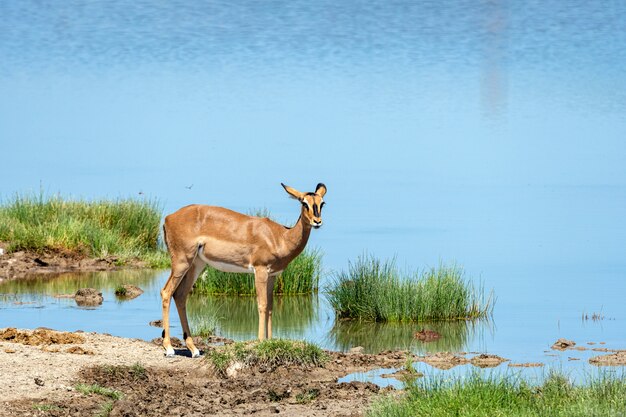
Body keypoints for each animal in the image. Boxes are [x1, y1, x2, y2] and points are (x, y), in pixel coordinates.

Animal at [161, 180, 324, 356]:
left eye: (322, 203)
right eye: (304, 203)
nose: (317, 221)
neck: (280, 237)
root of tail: (168, 218)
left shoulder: (273, 275)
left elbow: (271, 307)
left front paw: (270, 341)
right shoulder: (260, 270)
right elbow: (262, 305)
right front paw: (260, 342)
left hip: (196, 265)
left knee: (180, 295)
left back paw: (194, 349)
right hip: (181, 262)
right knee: (166, 292)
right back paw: (169, 348)